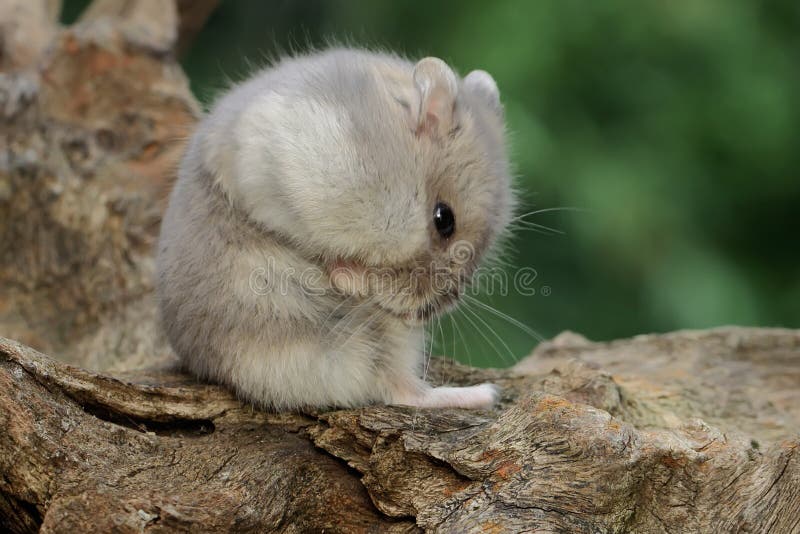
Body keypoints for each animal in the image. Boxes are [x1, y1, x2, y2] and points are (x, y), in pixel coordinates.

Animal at [155, 49, 516, 410]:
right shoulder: (279, 173)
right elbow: (315, 245)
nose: (422, 317)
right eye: (444, 220)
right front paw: (348, 275)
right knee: (398, 388)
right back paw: (484, 393)